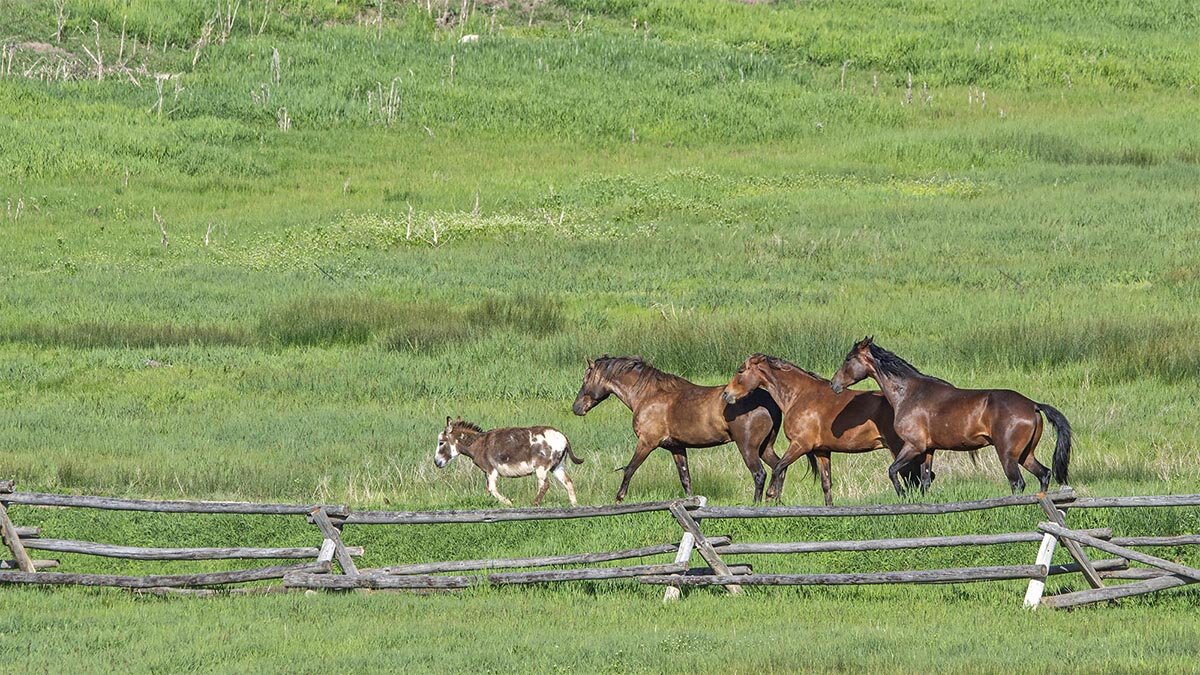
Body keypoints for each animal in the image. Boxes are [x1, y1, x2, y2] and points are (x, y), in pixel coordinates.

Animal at [573, 355, 787, 502]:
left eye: (585, 380)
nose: (576, 408)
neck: (648, 395)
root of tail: (770, 402)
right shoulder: (677, 447)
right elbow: (685, 478)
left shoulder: (646, 443)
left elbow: (630, 469)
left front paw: (619, 498)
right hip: (765, 447)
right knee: (779, 467)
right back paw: (775, 500)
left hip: (748, 447)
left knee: (759, 474)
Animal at [720, 355, 926, 502]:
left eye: (740, 370)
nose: (726, 394)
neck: (801, 395)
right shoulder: (822, 451)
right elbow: (826, 484)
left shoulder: (800, 445)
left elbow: (778, 468)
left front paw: (771, 496)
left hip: (900, 449)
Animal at [830, 336, 1075, 494]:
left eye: (848, 358)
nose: (834, 384)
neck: (909, 394)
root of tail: (1033, 405)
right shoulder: (928, 450)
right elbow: (925, 481)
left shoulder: (914, 446)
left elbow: (892, 471)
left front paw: (901, 494)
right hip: (1025, 454)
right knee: (1044, 474)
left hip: (1008, 455)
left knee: (1017, 483)